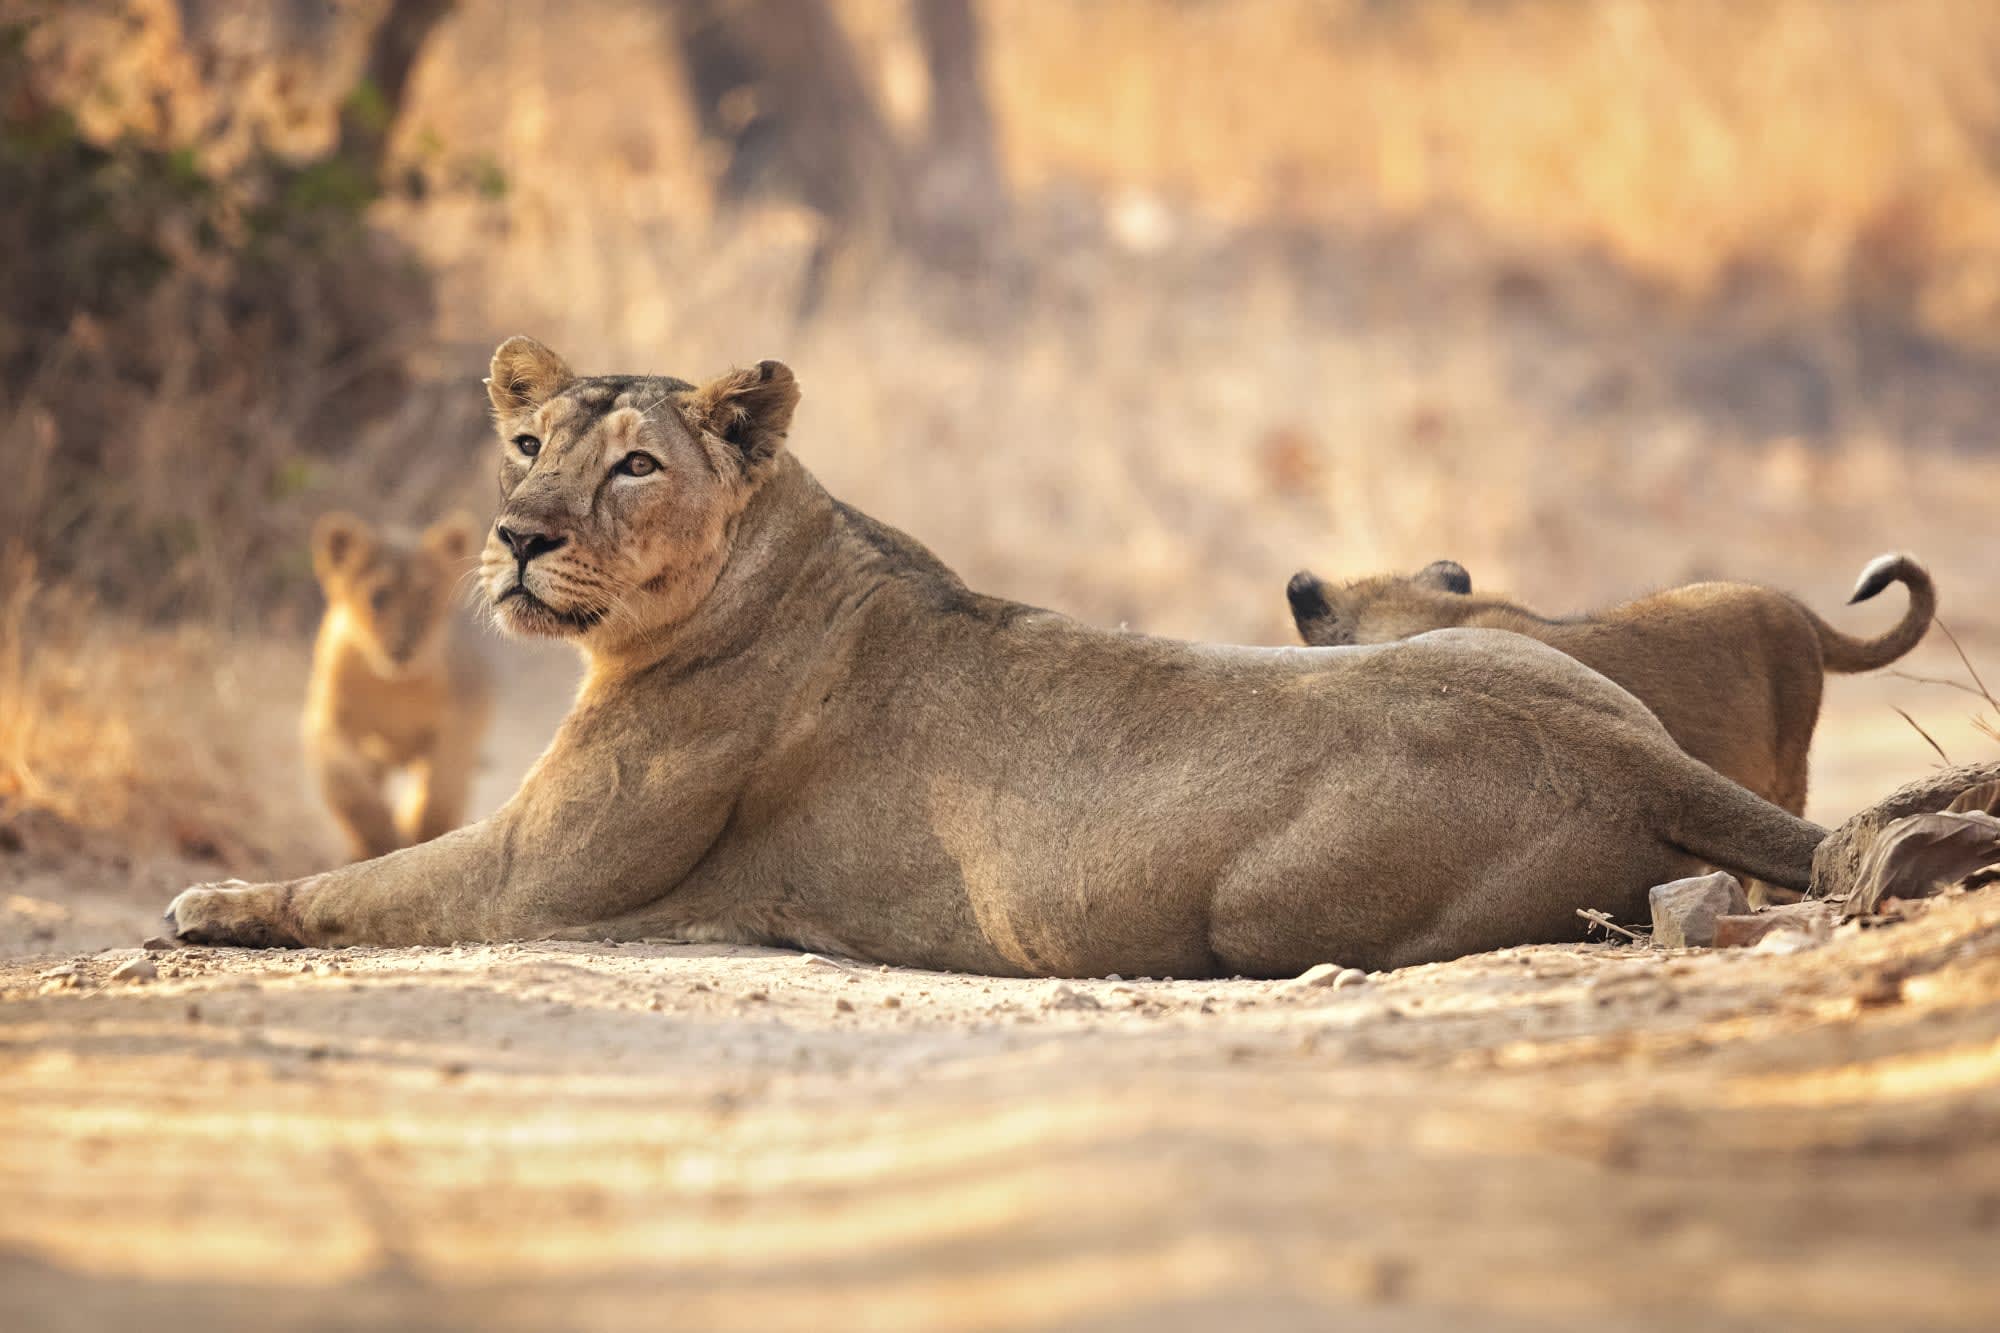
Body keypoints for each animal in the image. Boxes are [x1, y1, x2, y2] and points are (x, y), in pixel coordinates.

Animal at [304, 510, 493, 860]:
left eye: (428, 597)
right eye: (378, 597)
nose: (403, 648)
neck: (392, 686)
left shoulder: (460, 719)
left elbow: (441, 786)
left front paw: (423, 834)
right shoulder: (330, 719)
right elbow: (346, 783)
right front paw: (380, 839)